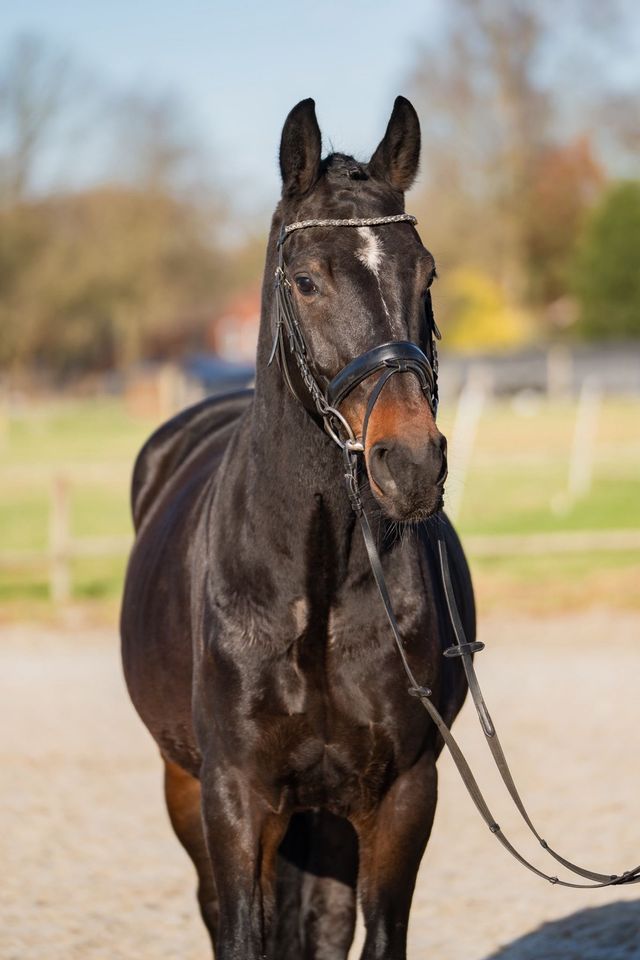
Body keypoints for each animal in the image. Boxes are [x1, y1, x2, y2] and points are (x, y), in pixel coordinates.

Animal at [122, 95, 476, 960]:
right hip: (184, 782)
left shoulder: (404, 795)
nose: (409, 463)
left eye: (426, 273)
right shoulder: (234, 796)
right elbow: (243, 932)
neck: (313, 580)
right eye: (307, 281)